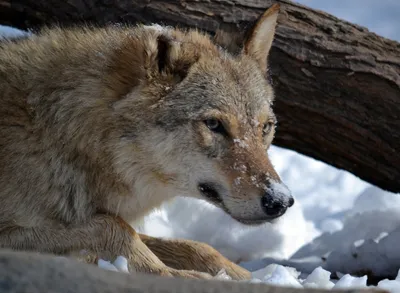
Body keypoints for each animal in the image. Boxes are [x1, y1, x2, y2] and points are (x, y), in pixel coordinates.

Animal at [0, 4, 294, 278]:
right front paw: (177, 276)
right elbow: (114, 227)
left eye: (266, 127)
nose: (280, 201)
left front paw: (247, 276)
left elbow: (197, 247)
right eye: (214, 125)